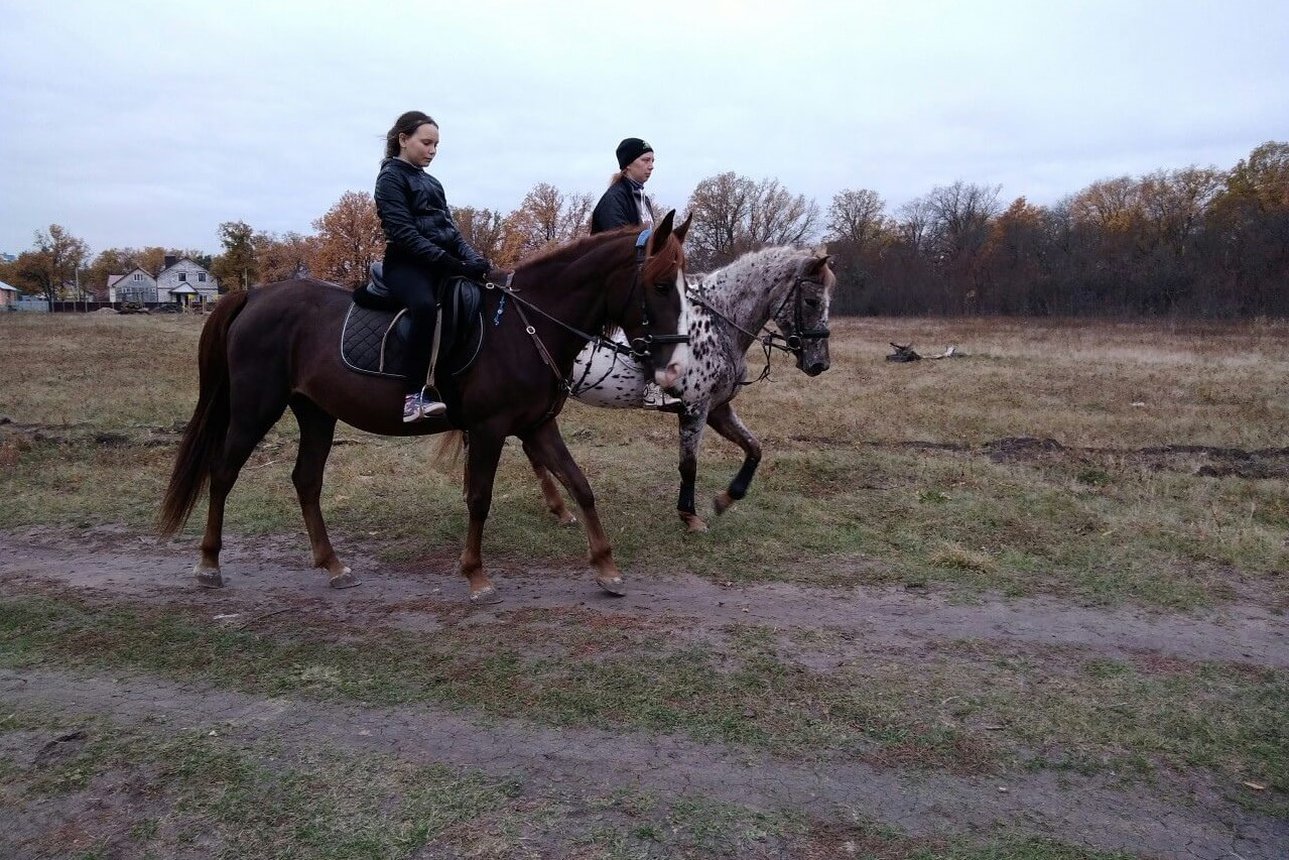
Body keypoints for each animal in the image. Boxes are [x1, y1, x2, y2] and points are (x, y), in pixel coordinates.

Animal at [161, 214, 696, 605]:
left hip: (314, 411)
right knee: (223, 472)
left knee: (306, 481)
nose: (674, 368)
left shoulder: (537, 426)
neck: (524, 327)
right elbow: (479, 498)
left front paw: (606, 567)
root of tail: (254, 294)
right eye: (660, 284)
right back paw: (209, 563)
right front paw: (476, 575)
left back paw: (333, 565)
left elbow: (581, 487)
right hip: (256, 408)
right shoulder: (489, 429)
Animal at [525, 242, 835, 533]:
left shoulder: (717, 408)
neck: (716, 324)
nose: (820, 363)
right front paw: (690, 516)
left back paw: (560, 510)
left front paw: (725, 499)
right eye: (810, 301)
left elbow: (754, 448)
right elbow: (689, 465)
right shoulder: (694, 408)